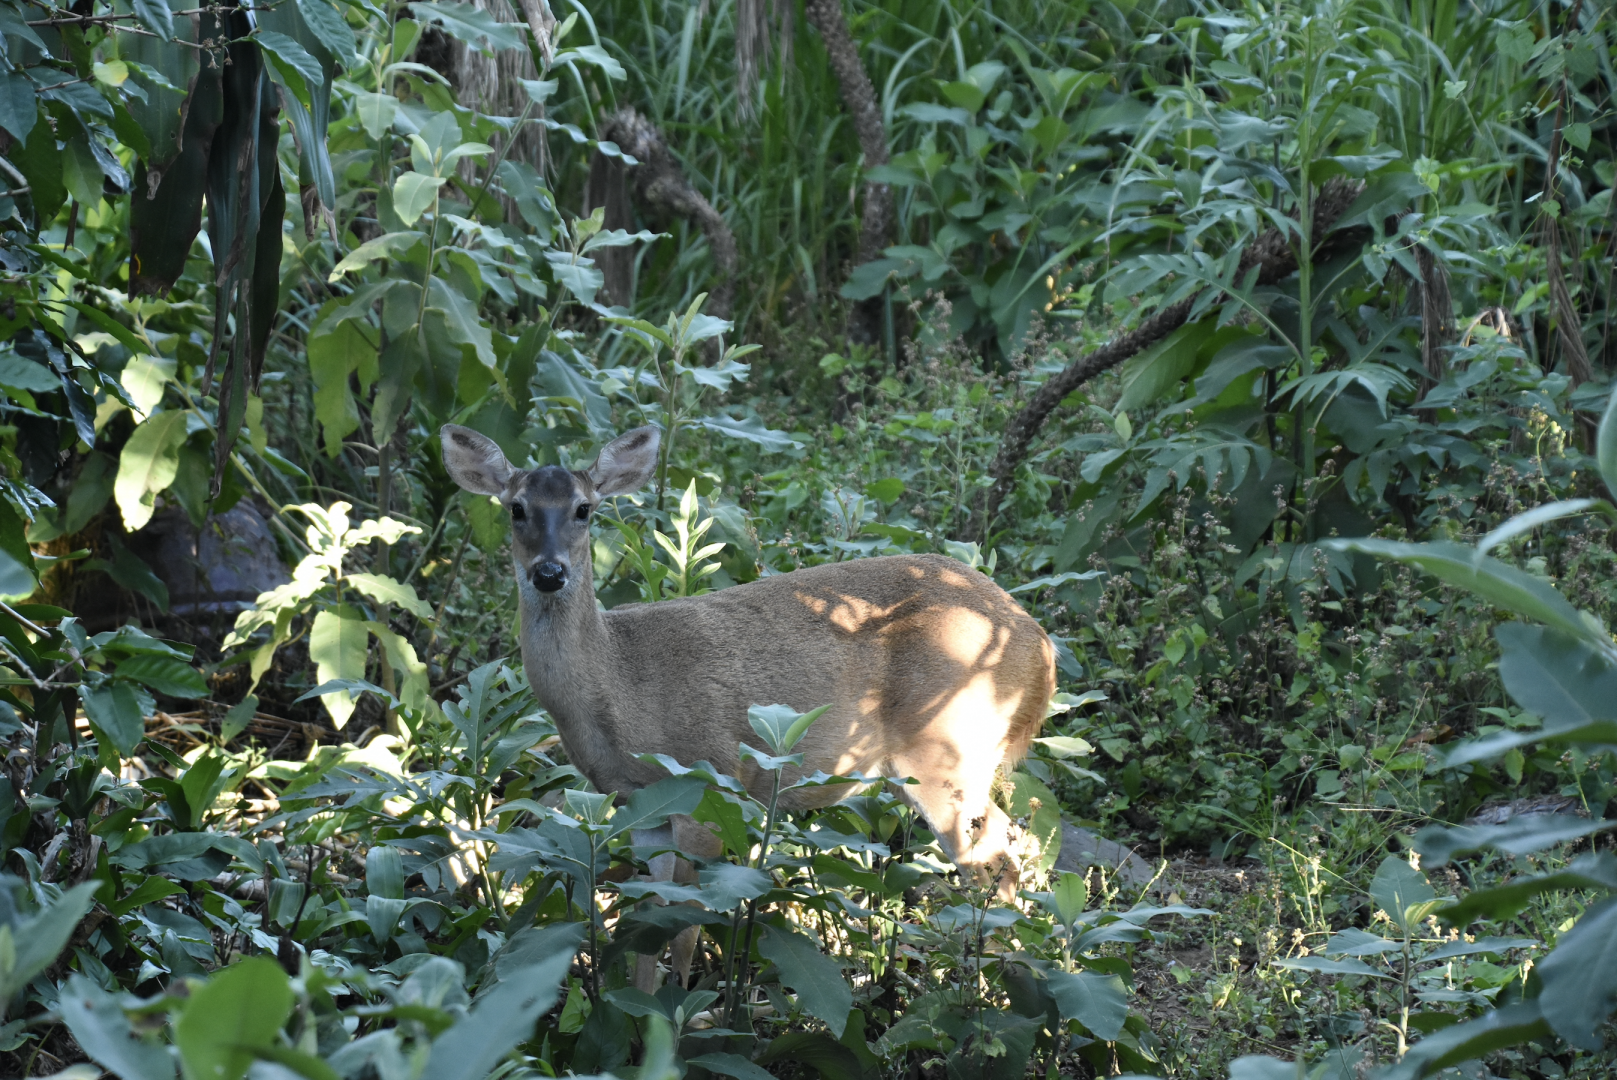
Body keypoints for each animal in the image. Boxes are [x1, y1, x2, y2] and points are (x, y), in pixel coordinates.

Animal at [440, 423, 1056, 987]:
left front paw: (682, 1013)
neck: (618, 687)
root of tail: (1040, 648)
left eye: (584, 509)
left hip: (945, 748)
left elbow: (685, 927)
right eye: (516, 508)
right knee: (1015, 846)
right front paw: (640, 1016)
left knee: (994, 858)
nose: (549, 573)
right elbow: (646, 919)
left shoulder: (710, 779)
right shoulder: (640, 802)